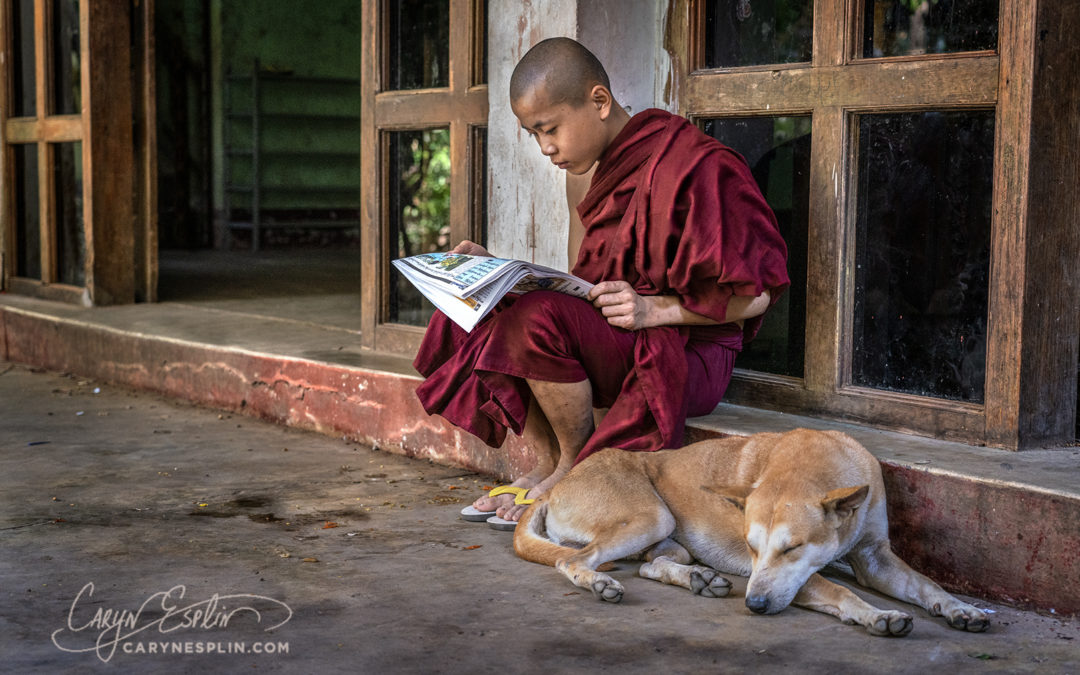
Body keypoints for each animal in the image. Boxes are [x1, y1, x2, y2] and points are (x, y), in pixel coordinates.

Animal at [511, 429, 989, 635]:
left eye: (793, 547)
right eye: (751, 547)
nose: (754, 605)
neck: (813, 465)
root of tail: (555, 487)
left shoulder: (874, 557)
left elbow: (926, 585)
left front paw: (960, 608)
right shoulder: (795, 578)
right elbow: (838, 590)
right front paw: (876, 616)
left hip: (666, 536)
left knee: (653, 564)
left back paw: (697, 578)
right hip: (650, 517)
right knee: (571, 558)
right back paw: (599, 582)